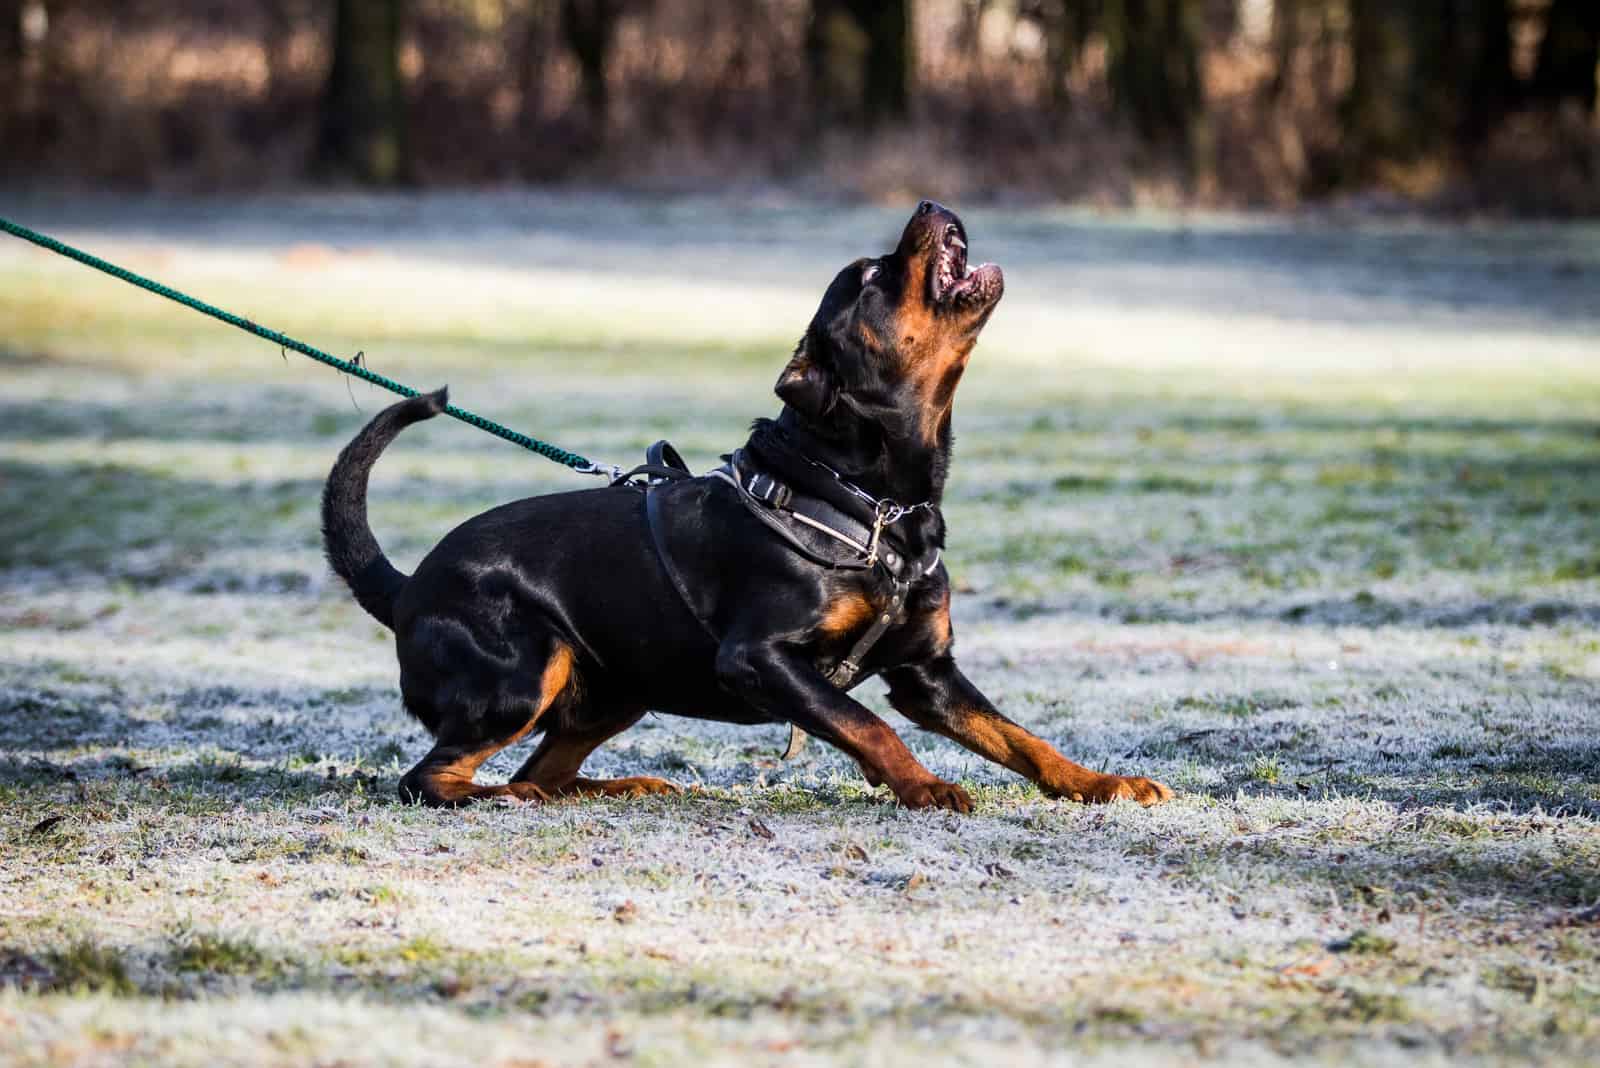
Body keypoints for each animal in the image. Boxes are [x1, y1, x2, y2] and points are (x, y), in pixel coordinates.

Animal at [328, 199, 1177, 812]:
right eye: (873, 276)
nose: (931, 202)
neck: (875, 504)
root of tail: (405, 587)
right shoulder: (761, 658)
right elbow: (868, 725)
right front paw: (925, 787)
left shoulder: (927, 672)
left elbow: (1020, 738)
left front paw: (1103, 784)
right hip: (523, 671)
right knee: (431, 778)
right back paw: (502, 799)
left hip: (616, 687)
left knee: (542, 769)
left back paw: (608, 788)